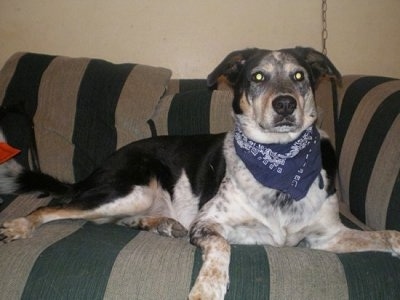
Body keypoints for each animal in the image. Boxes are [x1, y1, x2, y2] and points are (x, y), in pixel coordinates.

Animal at [0, 48, 400, 298]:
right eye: (257, 76)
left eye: (299, 75)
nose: (285, 104)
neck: (279, 165)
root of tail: (103, 163)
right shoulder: (209, 223)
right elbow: (222, 246)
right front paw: (208, 287)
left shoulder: (327, 237)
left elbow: (385, 235)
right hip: (132, 189)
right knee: (53, 206)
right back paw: (20, 225)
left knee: (116, 220)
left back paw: (163, 225)